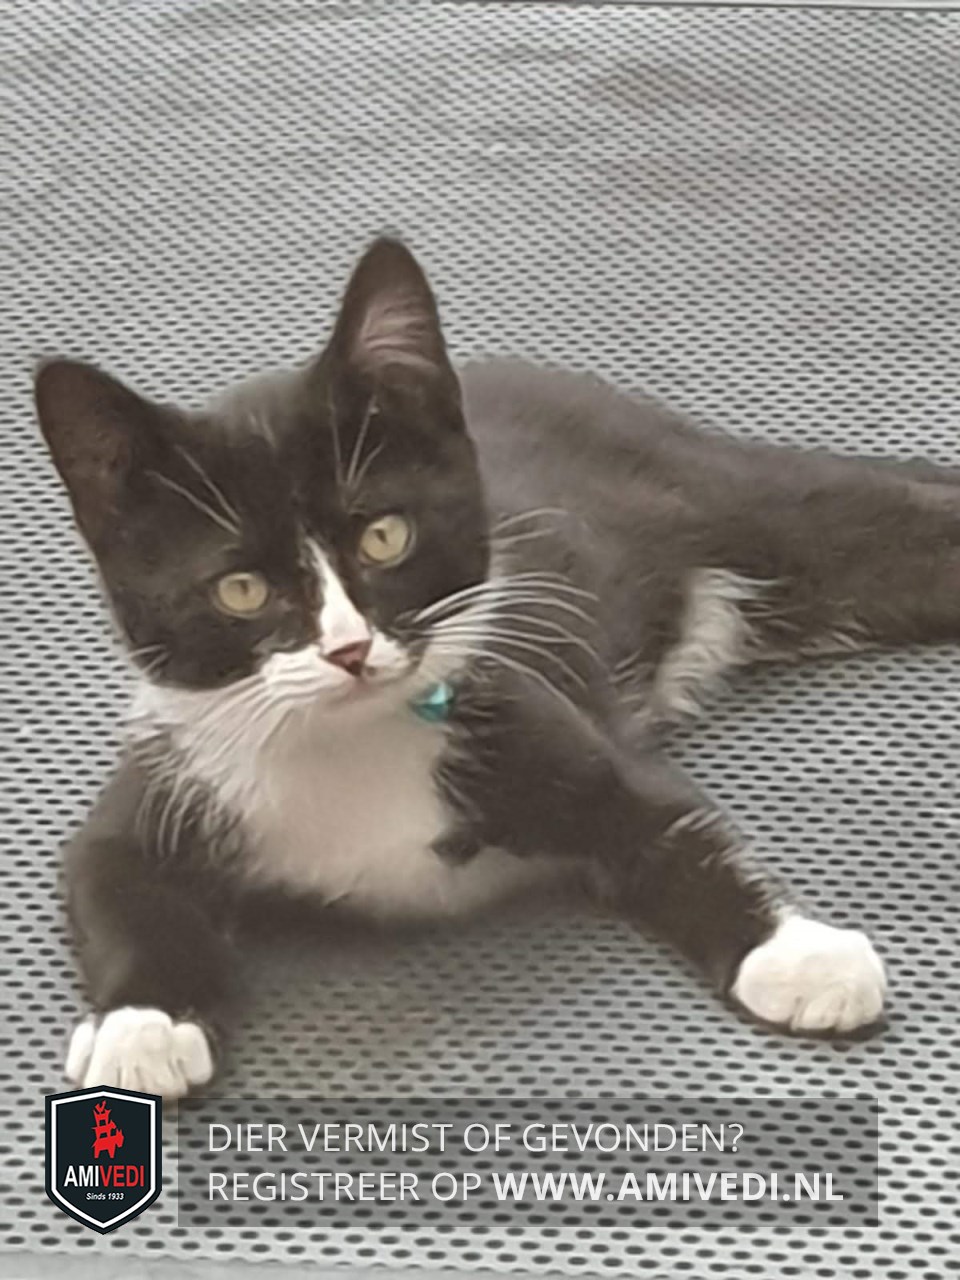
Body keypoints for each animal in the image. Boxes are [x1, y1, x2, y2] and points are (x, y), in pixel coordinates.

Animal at [35, 237, 959, 1099]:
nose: (349, 650)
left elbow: (679, 828)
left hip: (751, 511)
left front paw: (797, 955)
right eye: (240, 590)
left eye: (385, 537)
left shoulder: (544, 719)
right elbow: (115, 886)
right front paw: (140, 1026)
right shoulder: (165, 779)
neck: (354, 746)